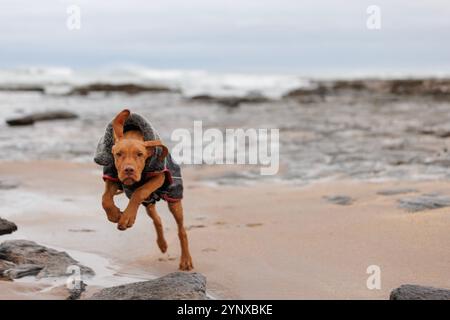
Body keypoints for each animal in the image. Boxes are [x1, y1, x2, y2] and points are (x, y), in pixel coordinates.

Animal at [94, 109, 192, 270]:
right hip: (149, 203)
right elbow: (105, 199)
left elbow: (139, 191)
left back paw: (186, 260)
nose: (128, 170)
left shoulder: (159, 176)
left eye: (140, 154)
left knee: (181, 230)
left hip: (174, 197)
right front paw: (114, 214)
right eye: (118, 154)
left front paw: (127, 217)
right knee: (157, 219)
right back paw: (162, 244)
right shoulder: (112, 176)